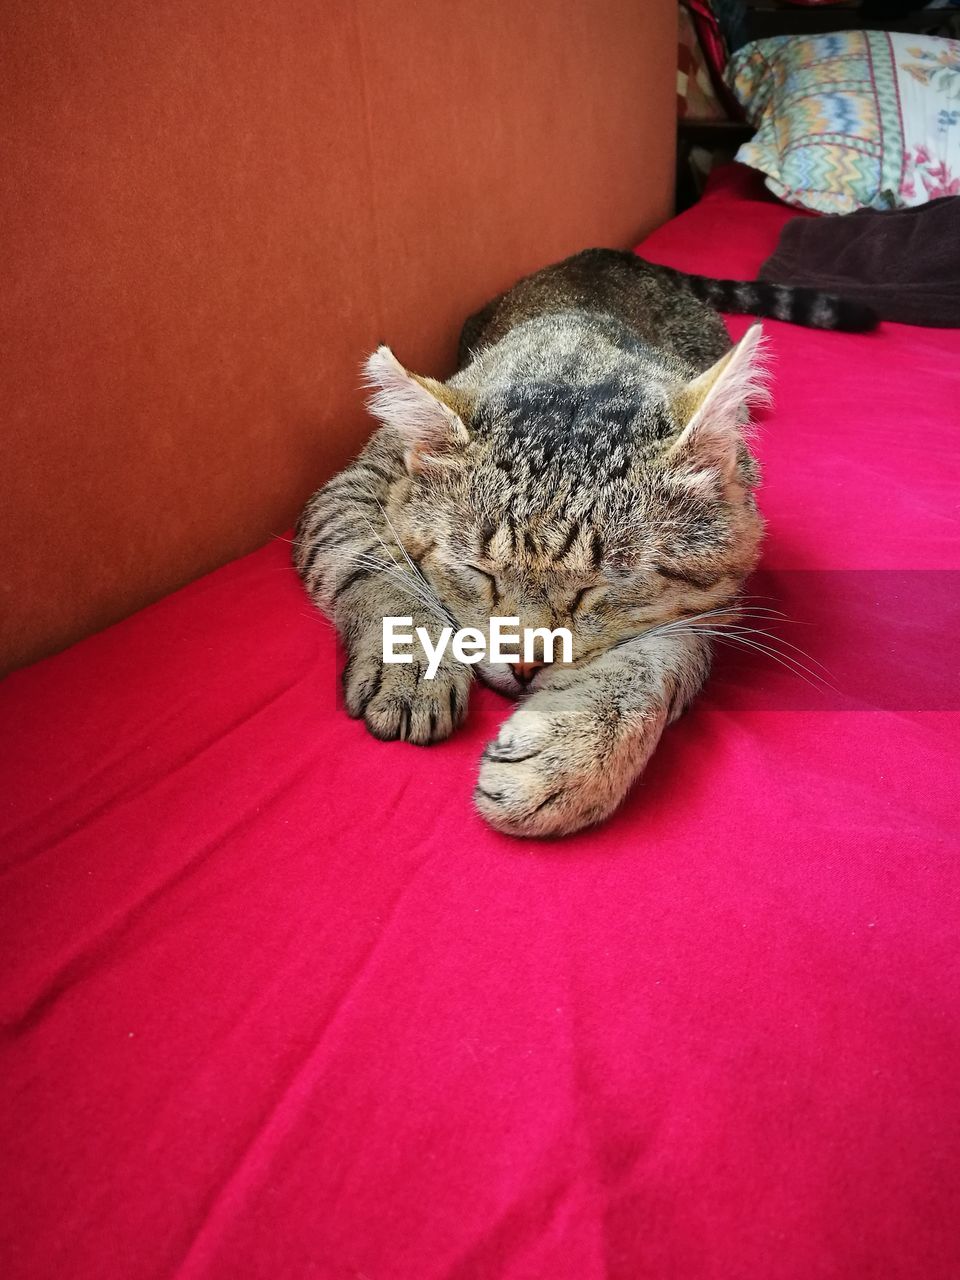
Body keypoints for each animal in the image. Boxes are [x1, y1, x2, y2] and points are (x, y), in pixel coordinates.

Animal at [295, 252, 880, 839]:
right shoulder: (352, 488)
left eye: (598, 590)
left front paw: (580, 747)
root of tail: (617, 256)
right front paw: (413, 659)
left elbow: (661, 651)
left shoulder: (719, 599)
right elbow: (373, 564)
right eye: (480, 573)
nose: (524, 665)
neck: (577, 356)